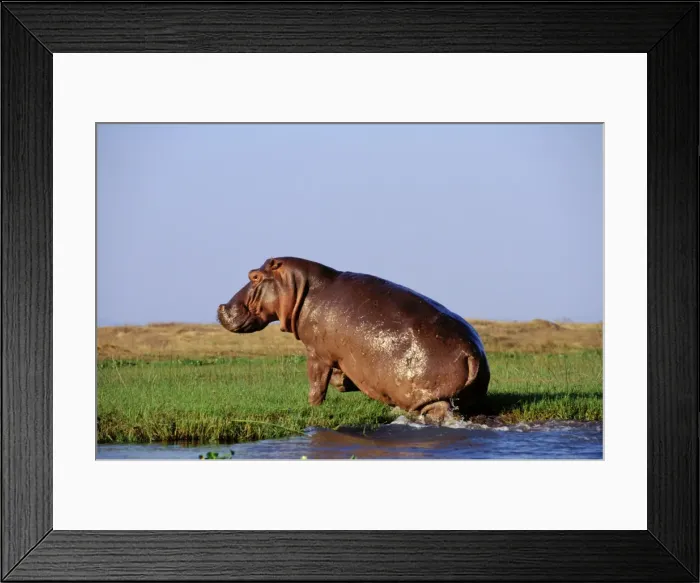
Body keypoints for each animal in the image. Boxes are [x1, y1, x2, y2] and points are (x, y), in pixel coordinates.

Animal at [217, 257, 490, 423]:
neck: (299, 287)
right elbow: (337, 379)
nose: (221, 307)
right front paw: (344, 383)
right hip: (470, 396)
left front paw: (313, 408)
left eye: (254, 276)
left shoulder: (316, 352)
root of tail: (472, 352)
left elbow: (316, 384)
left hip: (434, 399)